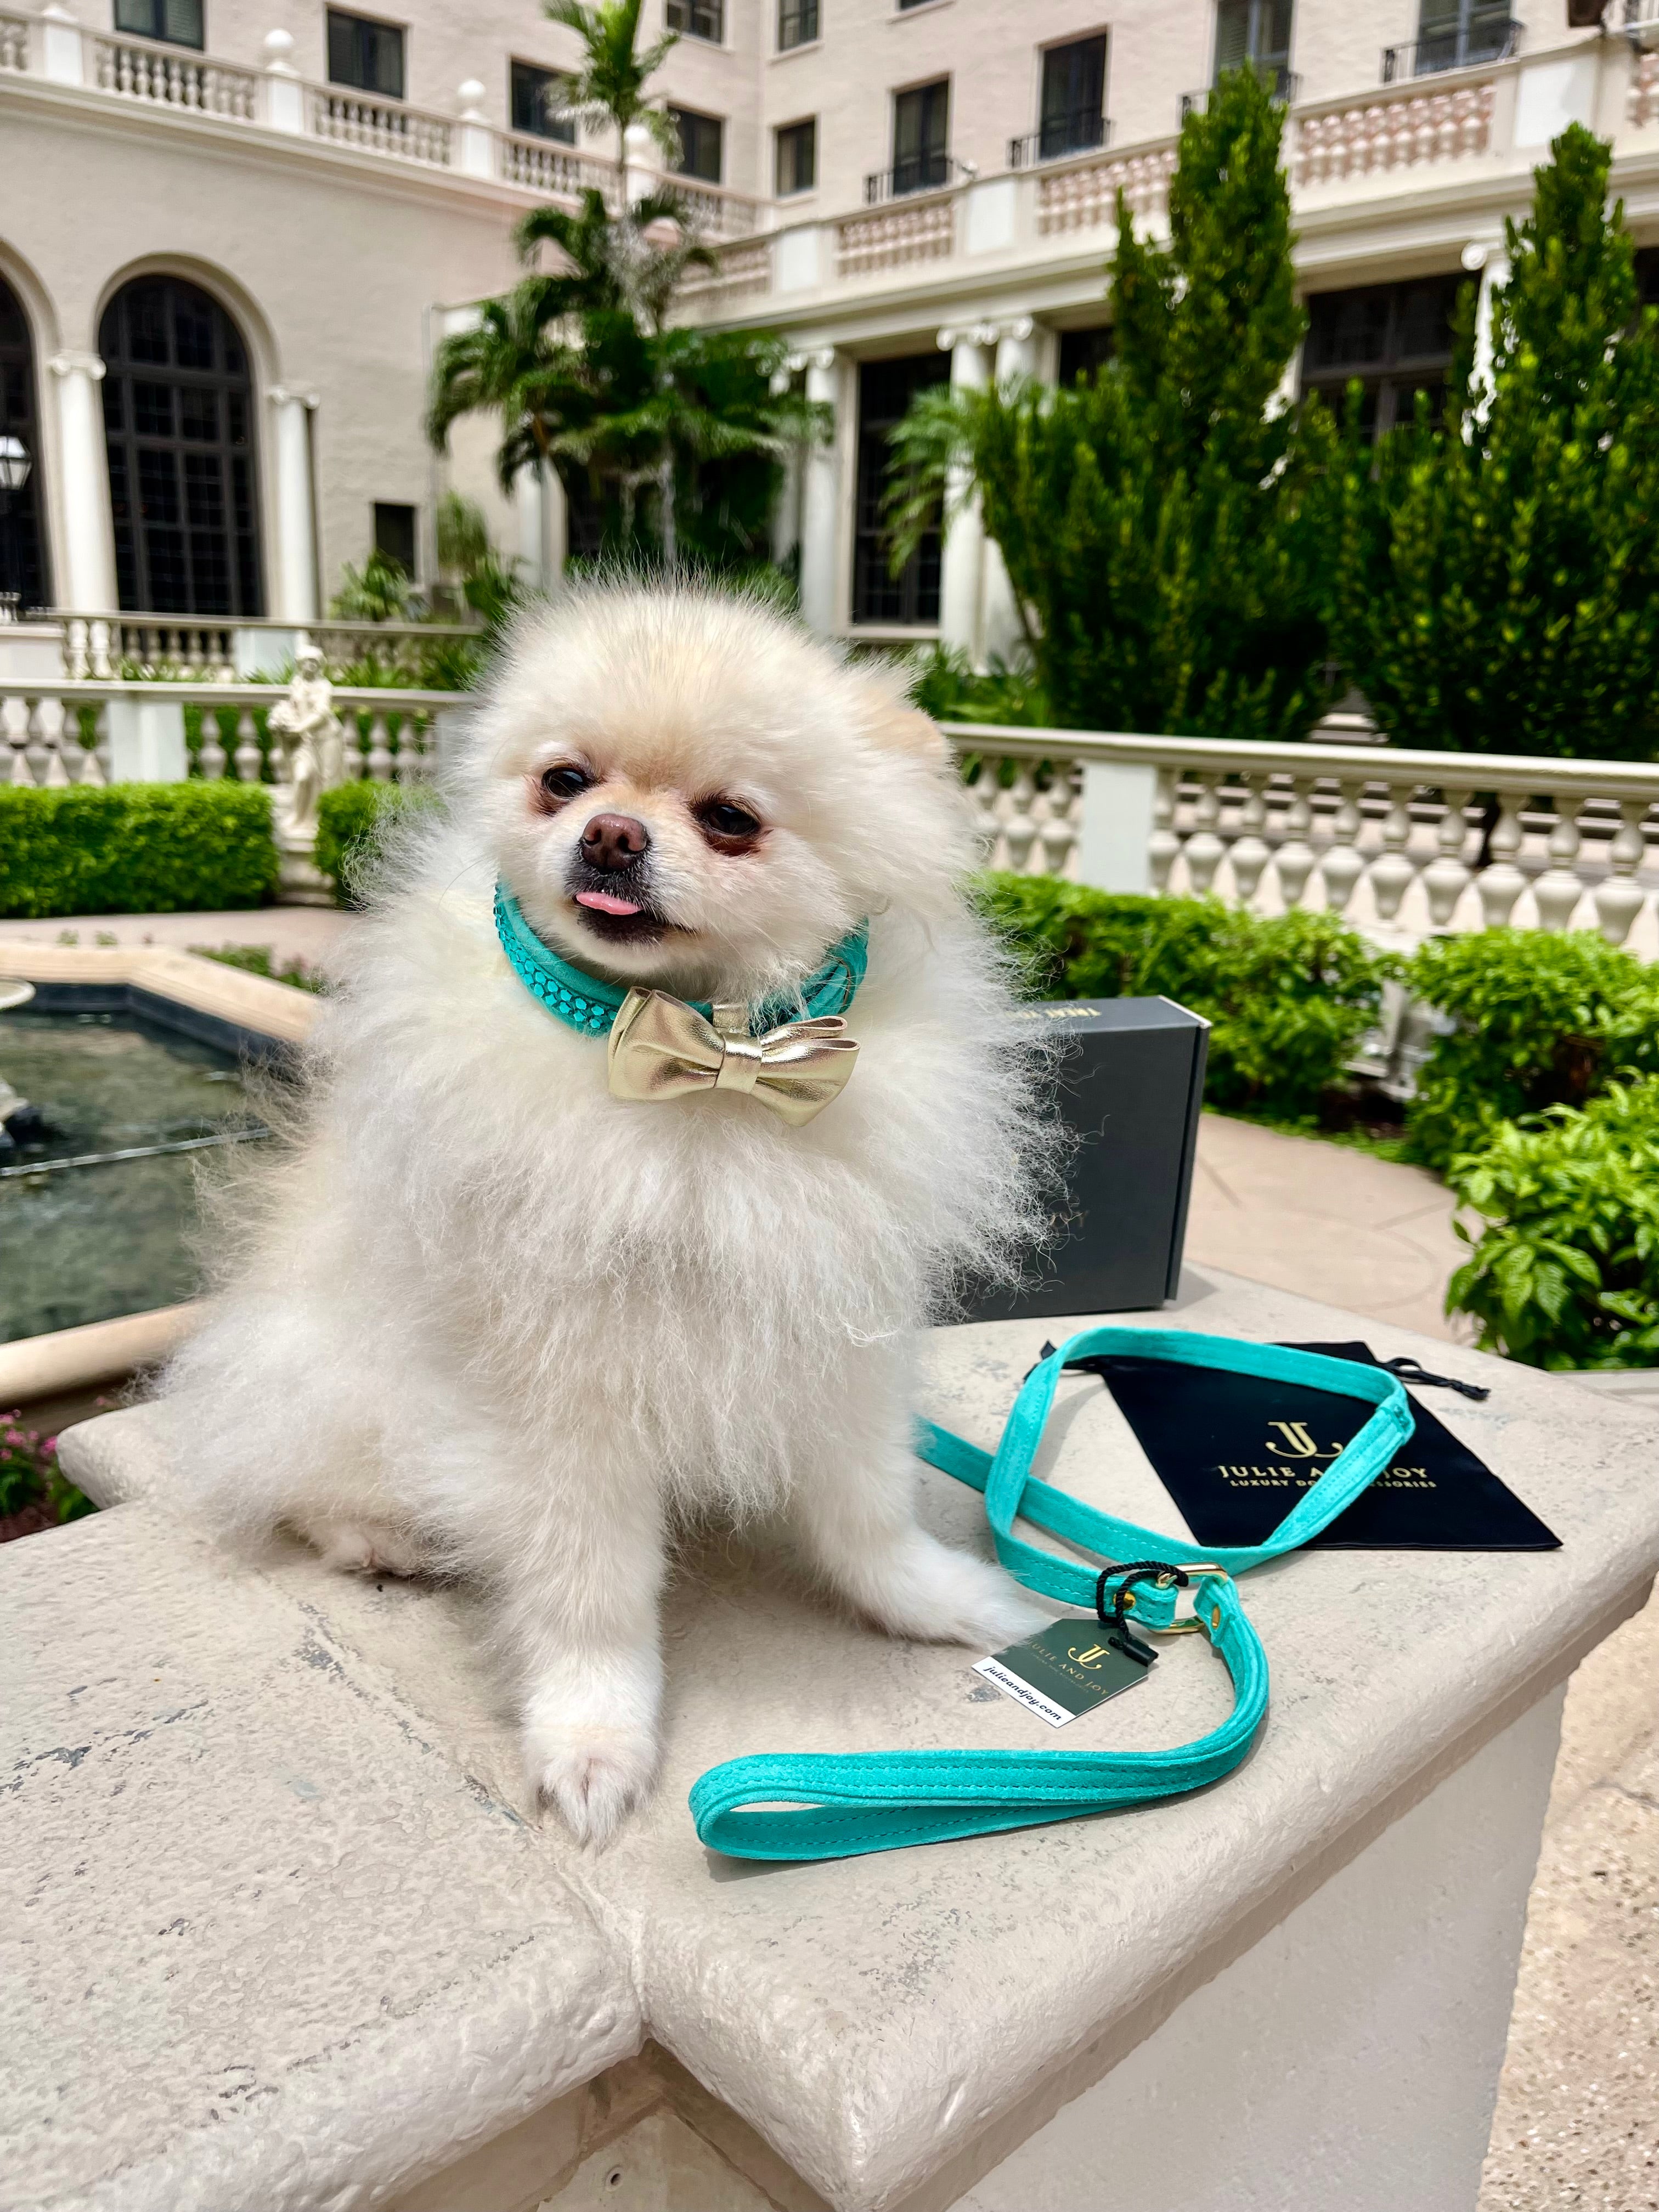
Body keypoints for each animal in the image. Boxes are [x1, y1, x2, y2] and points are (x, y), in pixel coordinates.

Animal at [169, 584, 1053, 1831]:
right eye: (565, 780)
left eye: (730, 818)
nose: (611, 836)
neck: (705, 1072)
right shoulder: (561, 1395)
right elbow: (589, 1591)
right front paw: (594, 1739)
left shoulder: (835, 1340)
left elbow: (867, 1509)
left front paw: (934, 1600)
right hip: (335, 1374)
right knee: (293, 1471)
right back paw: (384, 1534)